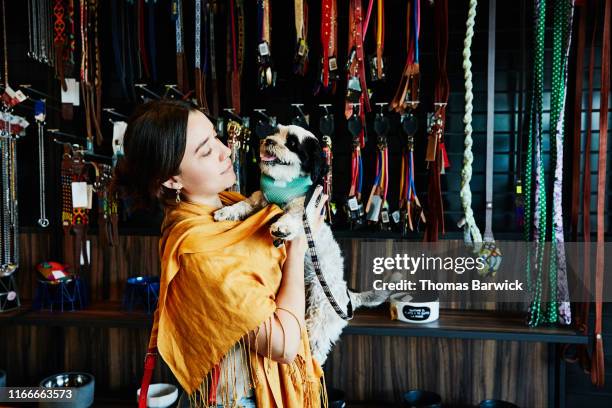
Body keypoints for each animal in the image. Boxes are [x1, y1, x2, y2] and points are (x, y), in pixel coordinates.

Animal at [213, 124, 390, 364]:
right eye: (275, 132)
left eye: (292, 144)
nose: (268, 140)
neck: (284, 185)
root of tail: (347, 296)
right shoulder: (261, 200)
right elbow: (246, 203)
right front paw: (227, 211)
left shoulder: (304, 206)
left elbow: (295, 213)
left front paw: (282, 227)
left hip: (320, 308)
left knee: (318, 340)